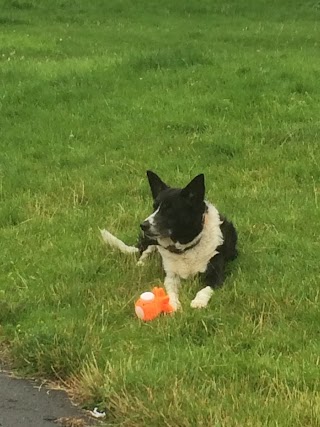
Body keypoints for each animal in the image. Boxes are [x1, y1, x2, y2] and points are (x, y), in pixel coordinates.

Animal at [100, 171, 238, 310]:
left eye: (169, 209)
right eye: (154, 207)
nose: (143, 225)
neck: (185, 247)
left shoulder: (215, 274)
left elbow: (204, 289)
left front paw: (199, 302)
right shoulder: (171, 275)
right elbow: (170, 291)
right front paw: (173, 304)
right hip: (151, 241)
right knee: (146, 250)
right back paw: (141, 263)